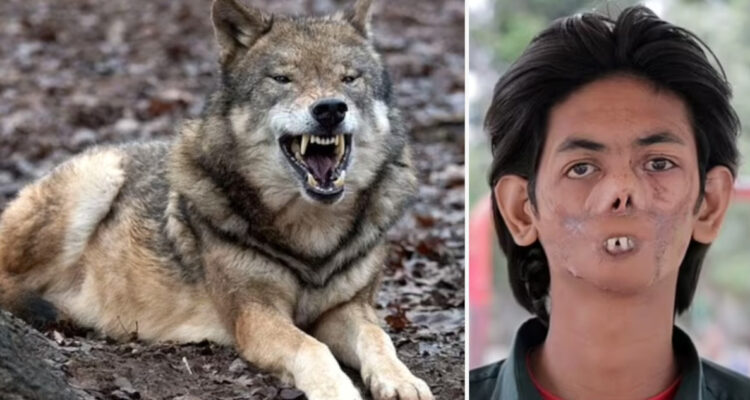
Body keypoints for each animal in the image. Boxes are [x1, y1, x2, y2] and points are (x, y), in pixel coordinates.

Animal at [0, 0, 434, 399]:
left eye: (349, 78)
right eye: (282, 79)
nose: (330, 109)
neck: (313, 236)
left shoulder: (347, 309)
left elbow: (378, 339)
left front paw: (402, 381)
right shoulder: (254, 314)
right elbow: (312, 349)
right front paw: (339, 391)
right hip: (98, 176)